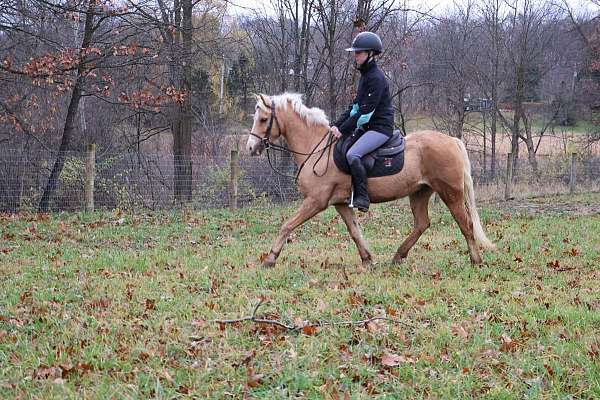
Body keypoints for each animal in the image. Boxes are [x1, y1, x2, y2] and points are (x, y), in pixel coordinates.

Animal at [246, 93, 494, 268]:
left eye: (264, 119)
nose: (250, 147)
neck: (317, 149)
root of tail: (452, 141)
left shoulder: (315, 201)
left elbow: (287, 225)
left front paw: (270, 258)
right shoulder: (341, 204)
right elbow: (355, 231)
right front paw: (367, 258)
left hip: (450, 193)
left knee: (465, 224)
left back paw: (476, 261)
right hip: (420, 192)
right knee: (422, 223)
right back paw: (398, 255)